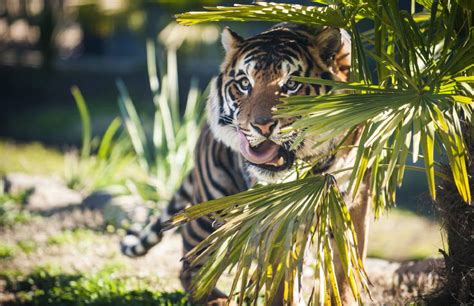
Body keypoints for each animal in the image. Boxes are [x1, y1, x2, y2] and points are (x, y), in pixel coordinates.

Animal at [121, 24, 370, 306]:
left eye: (291, 85)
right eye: (244, 84)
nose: (261, 126)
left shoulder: (354, 198)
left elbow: (346, 268)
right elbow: (280, 274)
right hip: (211, 207)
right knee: (192, 268)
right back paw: (214, 298)